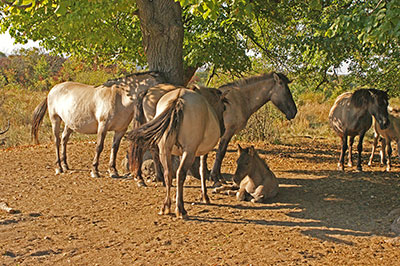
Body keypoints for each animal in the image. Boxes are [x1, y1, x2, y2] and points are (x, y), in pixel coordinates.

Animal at [30, 71, 166, 178]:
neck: (120, 98)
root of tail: (53, 89)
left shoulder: (120, 130)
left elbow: (114, 148)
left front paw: (113, 171)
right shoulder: (103, 126)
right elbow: (99, 147)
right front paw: (94, 170)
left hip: (69, 123)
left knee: (64, 139)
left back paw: (65, 165)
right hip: (55, 119)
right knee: (57, 141)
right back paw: (59, 167)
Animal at [126, 85, 227, 218]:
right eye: (224, 108)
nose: (223, 129)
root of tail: (179, 98)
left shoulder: (179, 152)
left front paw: (176, 195)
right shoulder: (200, 152)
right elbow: (202, 170)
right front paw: (205, 196)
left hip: (165, 149)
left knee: (168, 173)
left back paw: (165, 205)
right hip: (189, 151)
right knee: (180, 173)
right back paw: (180, 209)